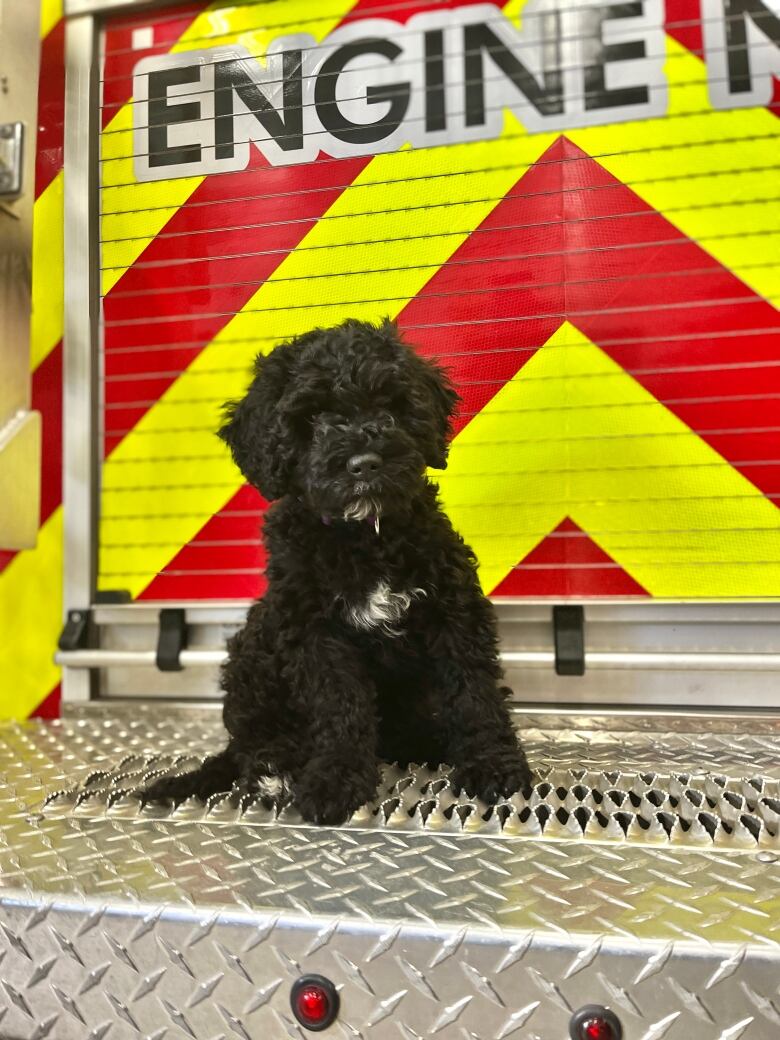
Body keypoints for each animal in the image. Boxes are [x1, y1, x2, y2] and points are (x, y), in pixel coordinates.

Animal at [143, 320, 536, 823]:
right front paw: (337, 779)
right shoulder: (312, 631)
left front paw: (492, 763)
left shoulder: (453, 610)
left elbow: (473, 690)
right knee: (250, 743)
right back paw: (276, 769)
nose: (364, 464)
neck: (366, 537)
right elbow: (339, 704)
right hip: (256, 645)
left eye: (389, 407)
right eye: (311, 420)